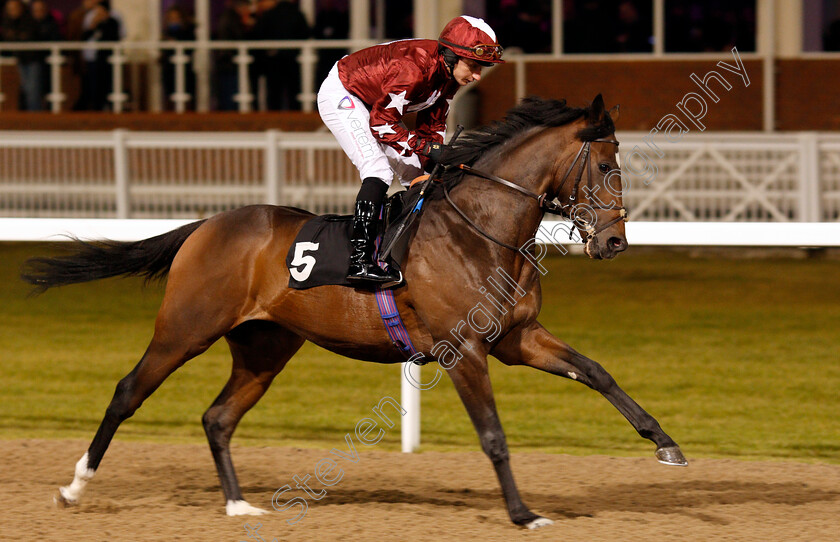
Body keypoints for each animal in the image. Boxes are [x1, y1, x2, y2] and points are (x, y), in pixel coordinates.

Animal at [23, 95, 684, 528]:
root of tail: (206, 225)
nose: (613, 242)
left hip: (264, 347)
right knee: (128, 391)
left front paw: (665, 445)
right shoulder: (464, 350)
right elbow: (493, 434)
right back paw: (74, 487)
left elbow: (596, 371)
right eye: (607, 165)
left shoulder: (517, 338)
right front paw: (523, 513)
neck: (482, 230)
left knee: (217, 418)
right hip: (184, 329)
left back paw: (238, 503)